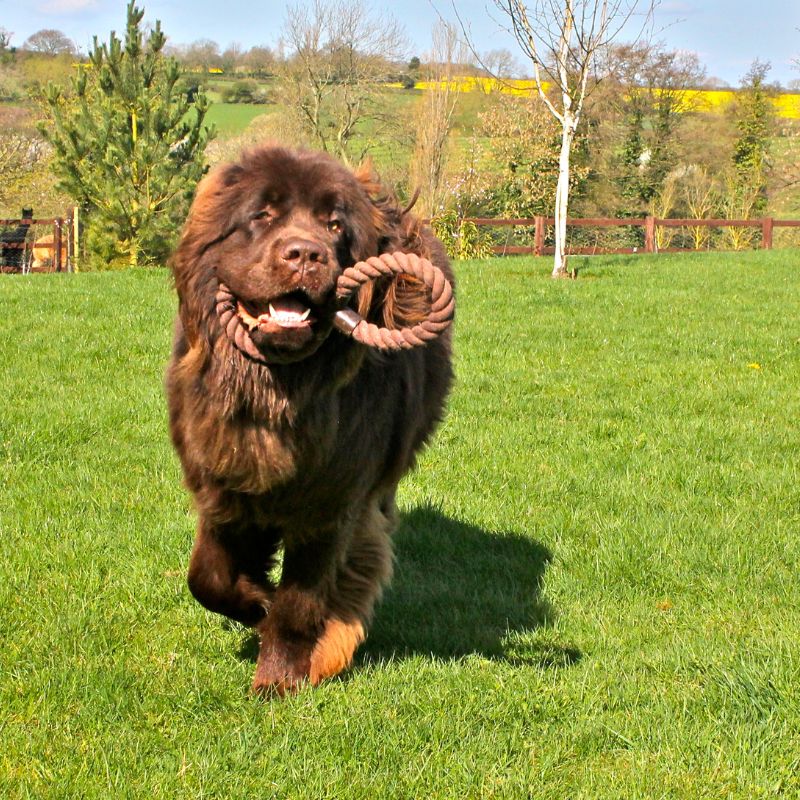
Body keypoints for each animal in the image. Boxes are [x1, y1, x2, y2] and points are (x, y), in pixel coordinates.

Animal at [166, 147, 454, 696]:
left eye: (334, 224)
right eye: (262, 215)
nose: (305, 254)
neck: (278, 392)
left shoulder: (330, 503)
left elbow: (299, 601)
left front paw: (278, 677)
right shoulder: (222, 481)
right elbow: (207, 578)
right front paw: (256, 602)